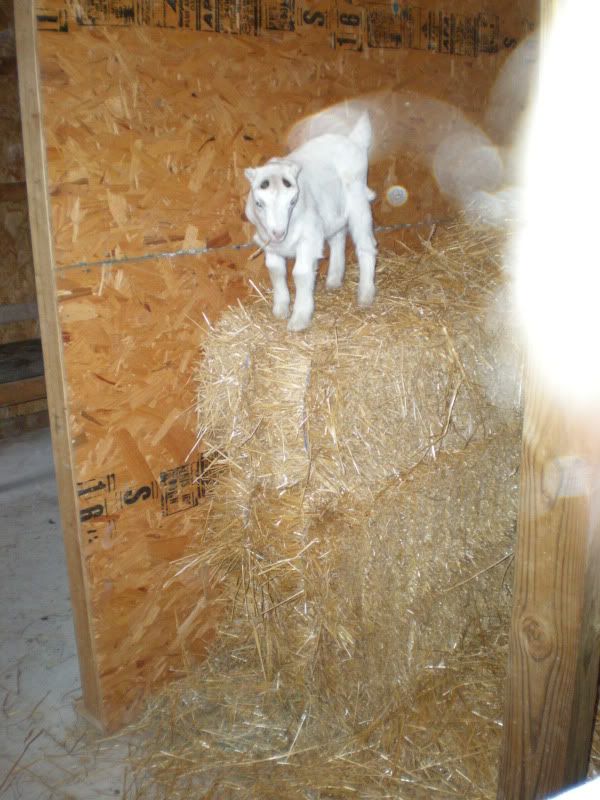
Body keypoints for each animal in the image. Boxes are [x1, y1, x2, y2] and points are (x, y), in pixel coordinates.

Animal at [244, 113, 377, 331]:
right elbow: (275, 270)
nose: (279, 233)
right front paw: (280, 309)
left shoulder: (309, 238)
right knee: (338, 238)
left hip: (358, 200)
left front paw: (299, 318)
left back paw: (365, 295)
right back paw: (334, 279)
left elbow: (301, 273)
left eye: (293, 201)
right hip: (333, 210)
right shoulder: (268, 242)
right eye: (258, 203)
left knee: (366, 245)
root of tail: (353, 141)